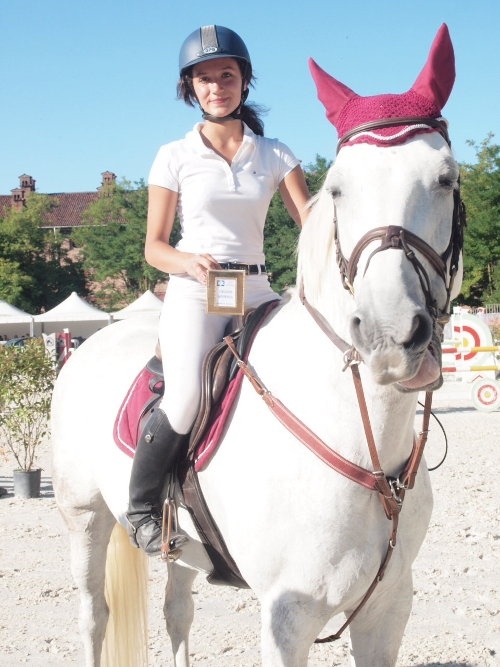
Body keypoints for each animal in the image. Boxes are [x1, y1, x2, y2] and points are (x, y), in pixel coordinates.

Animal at [51, 23, 463, 667]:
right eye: (337, 190)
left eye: (447, 179)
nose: (389, 335)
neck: (365, 442)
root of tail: (92, 344)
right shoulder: (287, 616)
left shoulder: (388, 610)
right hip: (85, 518)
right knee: (94, 616)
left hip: (178, 550)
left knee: (176, 610)